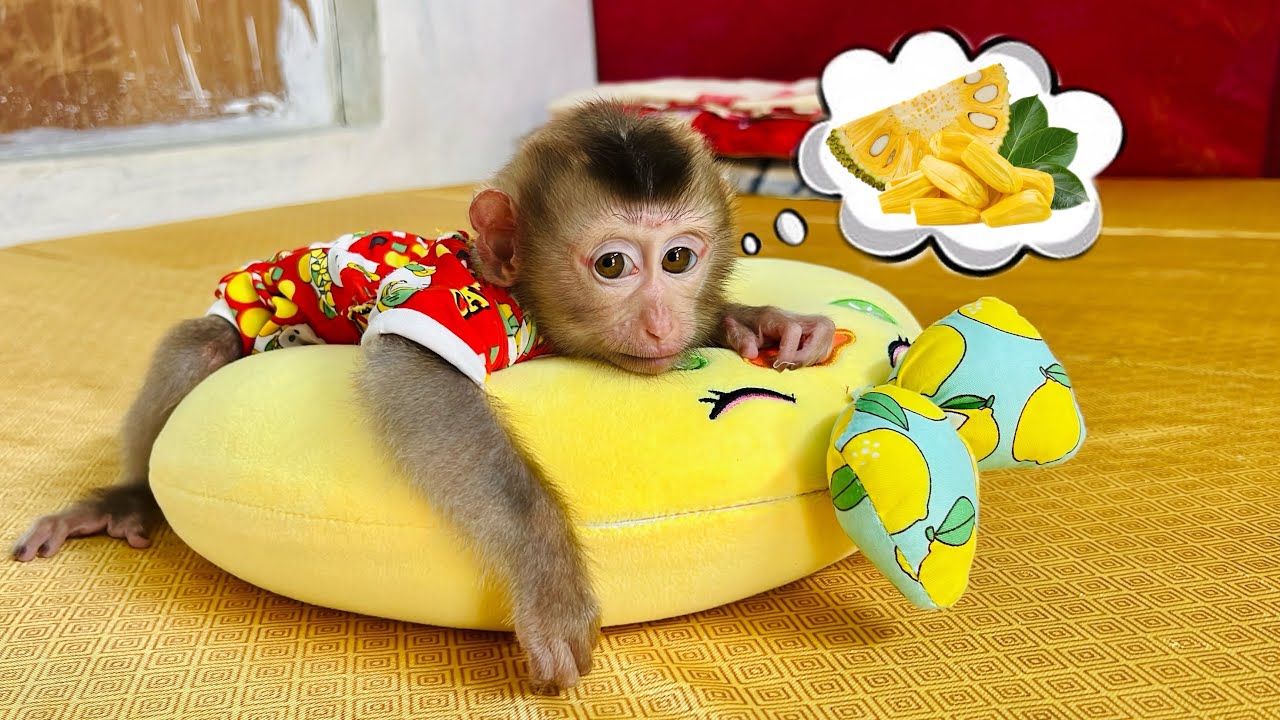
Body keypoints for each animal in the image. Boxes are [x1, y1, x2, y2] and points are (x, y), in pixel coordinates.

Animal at [11, 101, 838, 693]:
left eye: (677, 261)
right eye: (612, 265)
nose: (664, 321)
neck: (522, 295)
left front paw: (771, 324)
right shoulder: (464, 308)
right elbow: (412, 373)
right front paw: (548, 578)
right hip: (238, 313)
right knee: (201, 345)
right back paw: (124, 496)